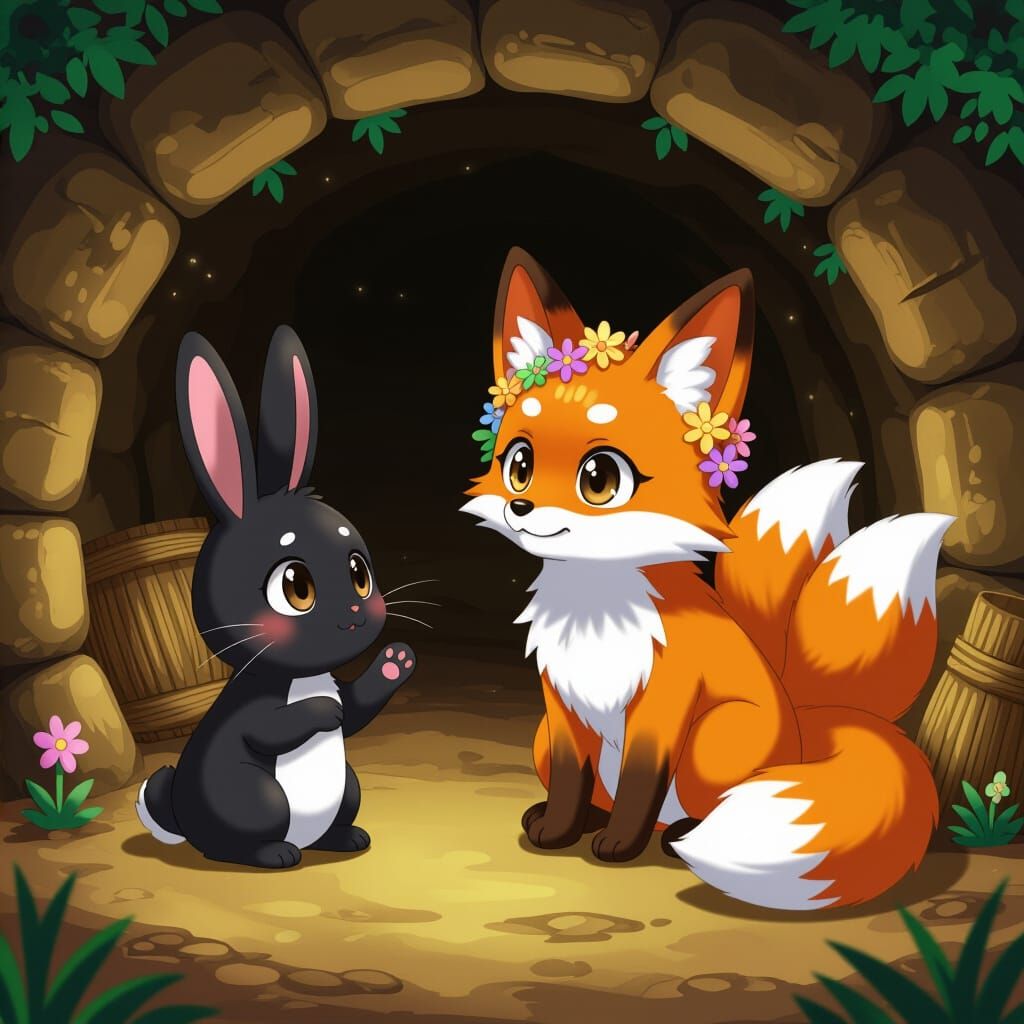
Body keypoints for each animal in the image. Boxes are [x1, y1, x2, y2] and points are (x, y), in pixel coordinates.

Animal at [135, 326, 417, 869]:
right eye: (296, 588)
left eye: (359, 573)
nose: (356, 610)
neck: (303, 677)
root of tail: (183, 817)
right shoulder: (255, 710)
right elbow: (274, 725)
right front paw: (321, 712)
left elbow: (357, 710)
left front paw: (396, 661)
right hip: (254, 797)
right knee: (237, 843)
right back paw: (276, 855)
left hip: (348, 788)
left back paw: (346, 839)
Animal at [461, 247, 953, 911]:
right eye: (519, 464)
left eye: (599, 479)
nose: (522, 508)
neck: (593, 614)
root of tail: (804, 734)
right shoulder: (560, 707)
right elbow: (570, 778)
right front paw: (560, 829)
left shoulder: (662, 705)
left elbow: (641, 780)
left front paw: (618, 846)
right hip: (543, 737)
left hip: (712, 738)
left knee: (693, 811)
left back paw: (676, 838)